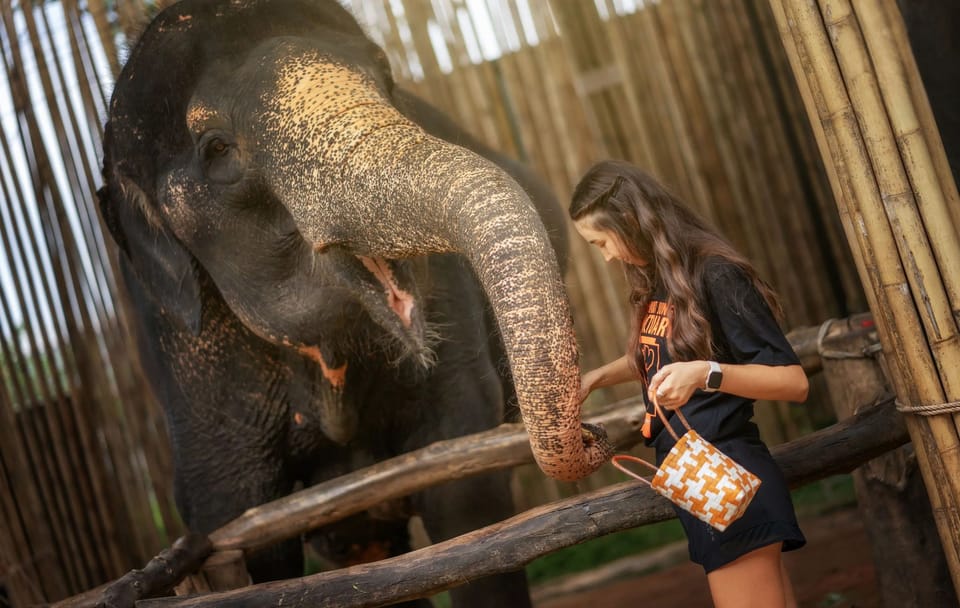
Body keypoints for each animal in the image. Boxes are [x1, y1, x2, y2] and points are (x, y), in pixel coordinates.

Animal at [97, 0, 611, 605]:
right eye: (217, 149)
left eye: (386, 75)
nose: (592, 432)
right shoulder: (189, 361)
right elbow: (245, 532)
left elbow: (465, 490)